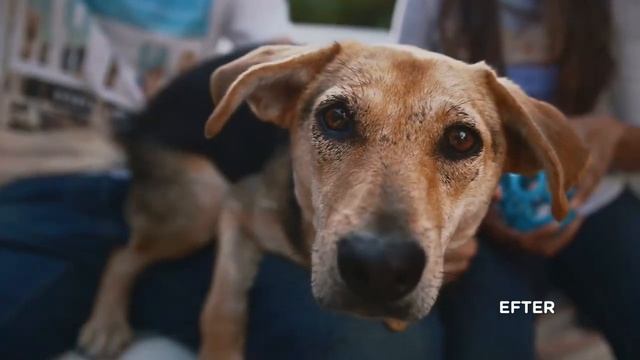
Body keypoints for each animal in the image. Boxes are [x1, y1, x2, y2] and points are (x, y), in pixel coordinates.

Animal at [77, 41, 588, 358]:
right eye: (336, 117)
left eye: (462, 140)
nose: (379, 269)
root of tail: (139, 120)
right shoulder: (236, 210)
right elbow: (222, 305)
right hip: (203, 198)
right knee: (122, 254)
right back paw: (105, 324)